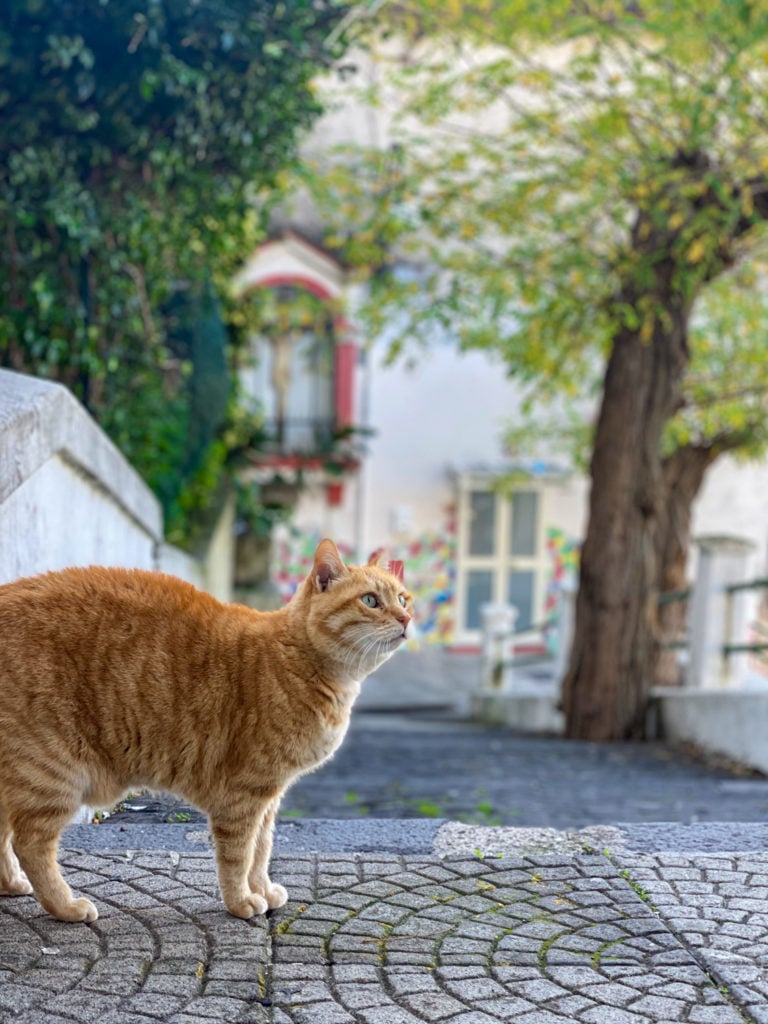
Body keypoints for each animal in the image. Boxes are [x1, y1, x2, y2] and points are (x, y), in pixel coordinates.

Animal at [0, 540, 415, 925]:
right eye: (371, 601)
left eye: (403, 598)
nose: (406, 618)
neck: (298, 659)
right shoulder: (244, 794)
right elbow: (239, 855)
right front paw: (242, 901)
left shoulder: (270, 796)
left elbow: (262, 849)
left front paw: (262, 889)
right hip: (53, 772)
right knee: (29, 843)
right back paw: (66, 906)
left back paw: (12, 885)